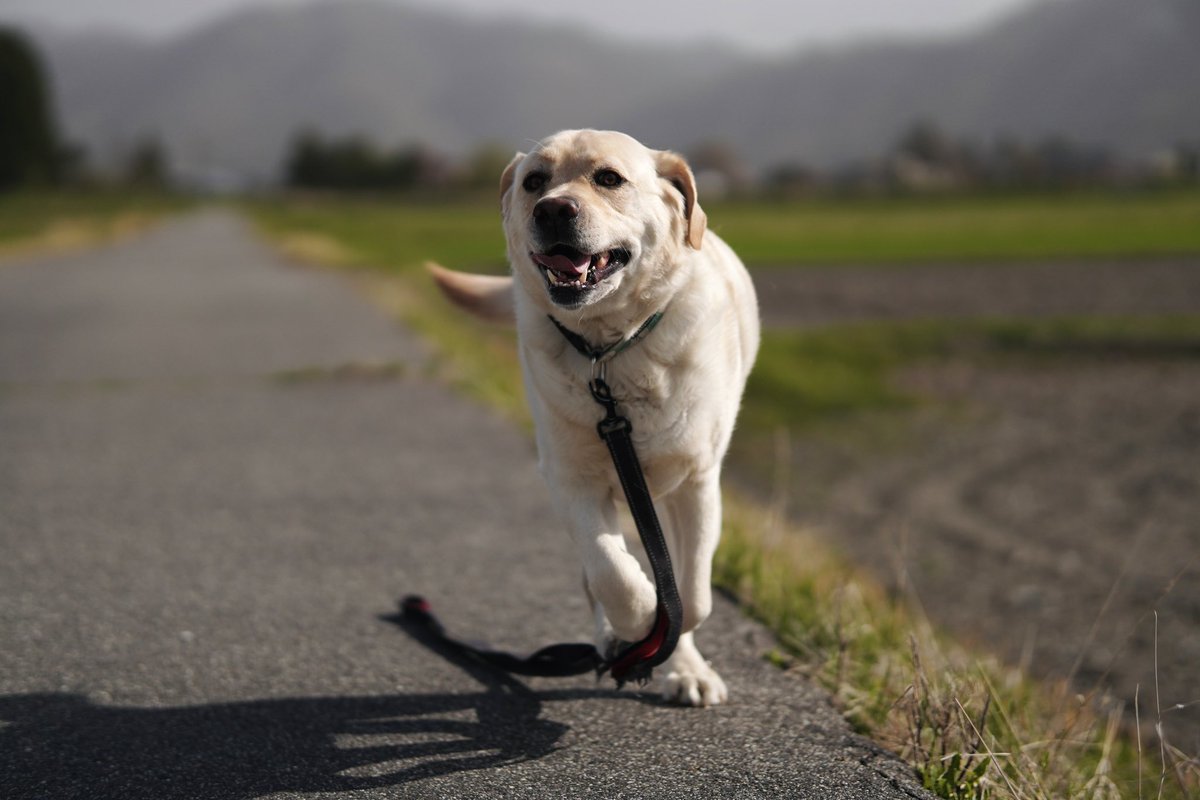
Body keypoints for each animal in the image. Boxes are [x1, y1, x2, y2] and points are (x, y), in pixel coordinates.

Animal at [432, 131, 753, 705]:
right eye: (534, 181)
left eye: (609, 178)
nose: (553, 209)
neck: (610, 347)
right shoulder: (571, 477)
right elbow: (611, 573)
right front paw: (638, 621)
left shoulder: (696, 480)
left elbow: (692, 596)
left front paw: (675, 652)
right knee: (597, 575)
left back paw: (685, 668)